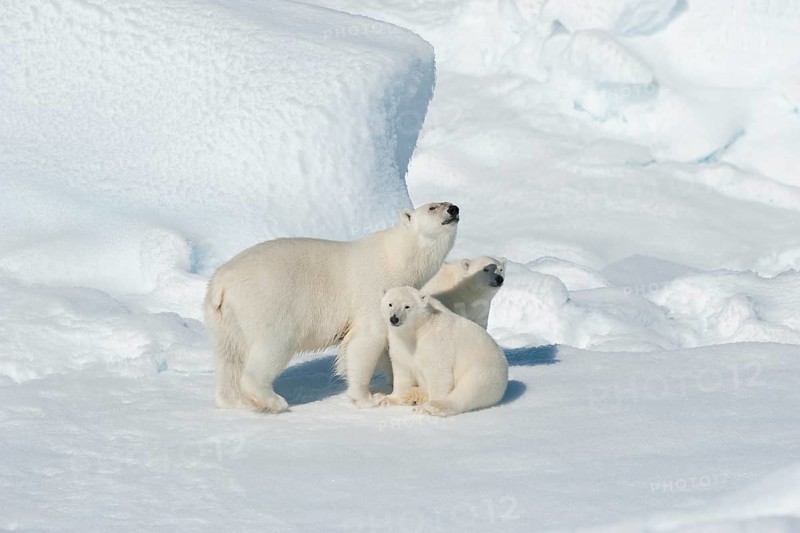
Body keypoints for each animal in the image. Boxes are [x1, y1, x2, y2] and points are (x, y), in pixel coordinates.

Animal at [203, 202, 459, 412]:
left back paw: (236, 402)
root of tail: (221, 284)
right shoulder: (373, 290)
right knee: (272, 347)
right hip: (266, 304)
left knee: (229, 357)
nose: (454, 209)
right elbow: (367, 340)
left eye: (448, 204)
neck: (398, 257)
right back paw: (273, 401)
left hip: (223, 318)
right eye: (432, 207)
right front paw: (369, 398)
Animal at [378, 286, 508, 417]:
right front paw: (388, 399)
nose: (394, 318)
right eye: (390, 304)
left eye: (407, 306)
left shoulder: (435, 342)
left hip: (485, 370)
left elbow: (438, 372)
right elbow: (402, 371)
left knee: (468, 389)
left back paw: (432, 406)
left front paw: (429, 405)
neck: (415, 332)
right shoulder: (400, 346)